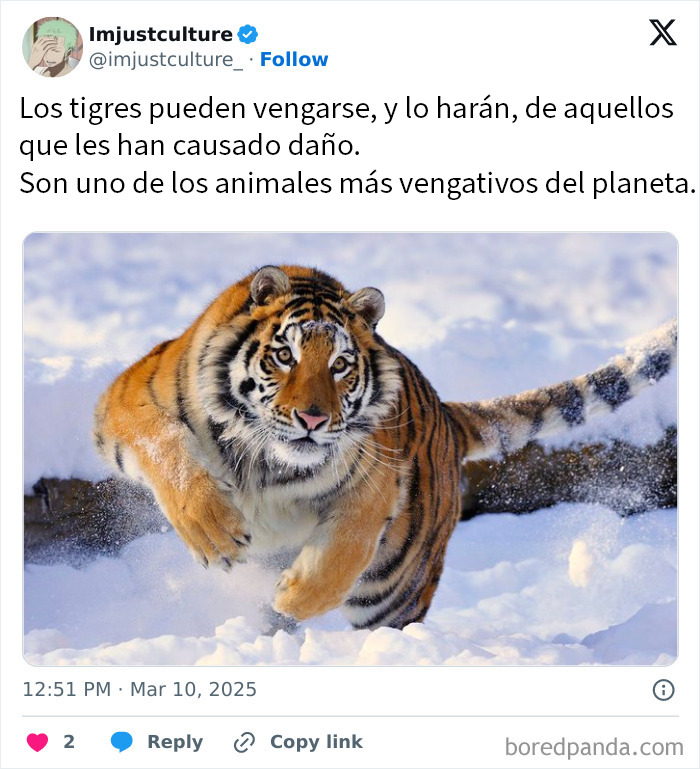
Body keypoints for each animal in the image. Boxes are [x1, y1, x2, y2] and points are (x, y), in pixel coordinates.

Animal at [93, 265, 677, 630]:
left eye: (340, 365)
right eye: (284, 355)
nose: (313, 418)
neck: (267, 459)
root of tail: (446, 413)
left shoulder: (374, 482)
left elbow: (343, 552)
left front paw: (293, 597)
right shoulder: (125, 400)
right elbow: (168, 449)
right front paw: (214, 534)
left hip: (396, 589)